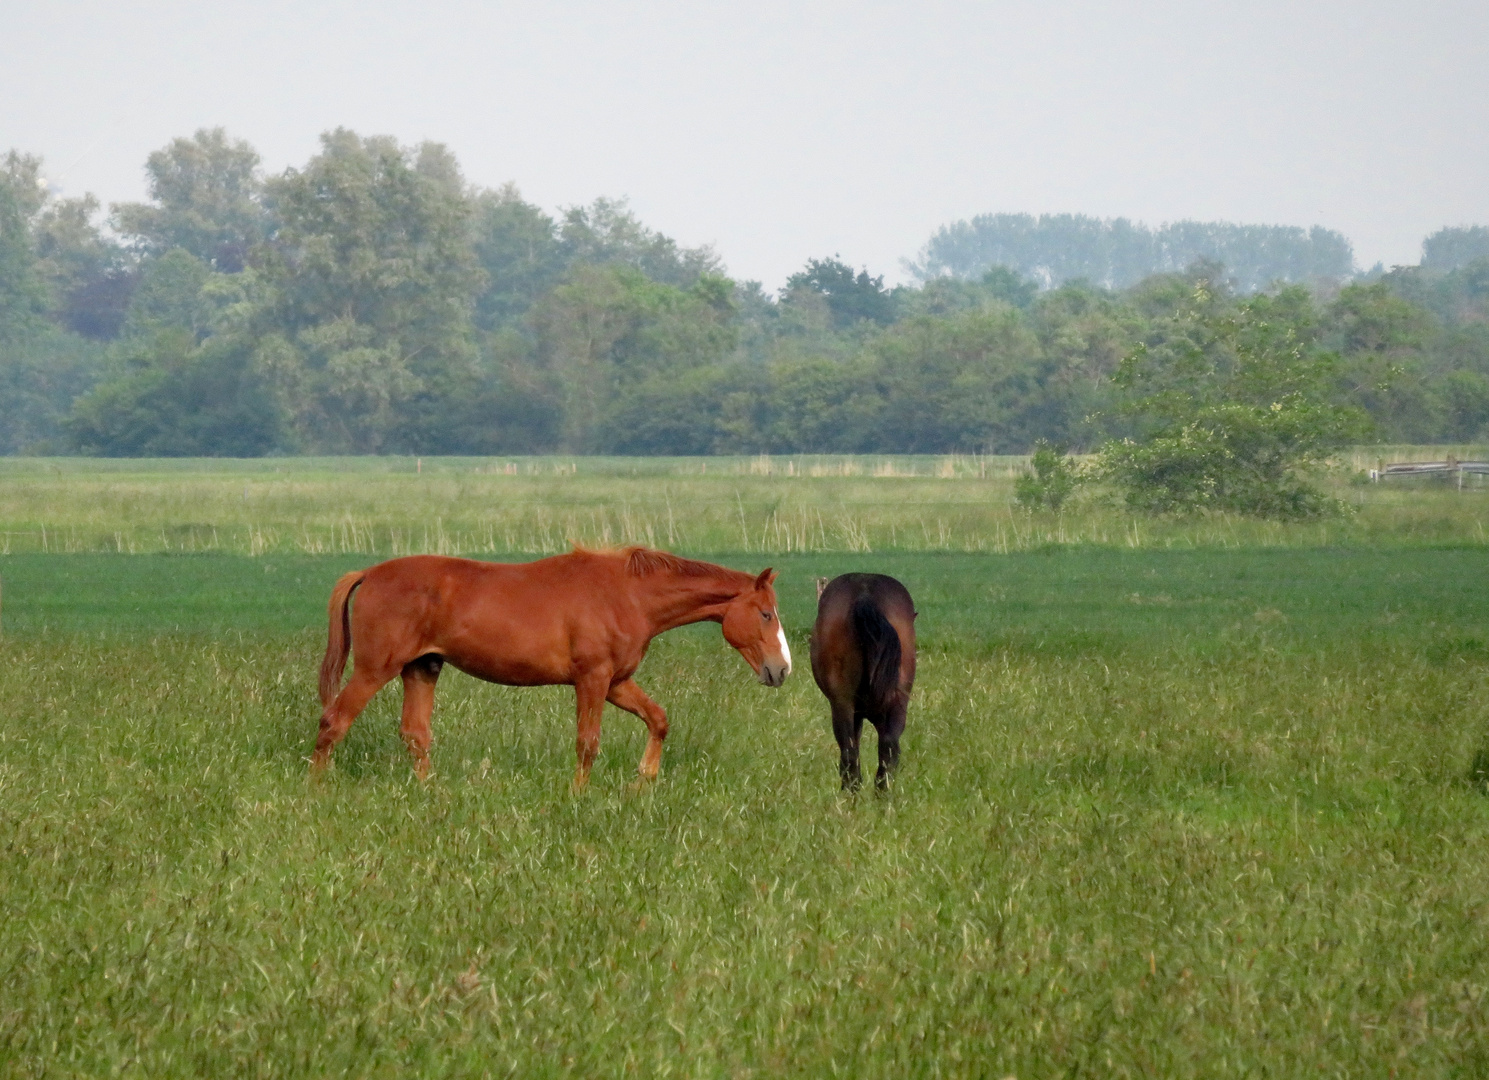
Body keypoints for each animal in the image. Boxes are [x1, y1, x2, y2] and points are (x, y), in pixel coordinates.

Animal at [312, 548, 792, 786]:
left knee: (416, 735)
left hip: (422, 668)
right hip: (375, 669)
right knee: (334, 722)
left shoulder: (617, 682)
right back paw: (317, 789)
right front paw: (578, 797)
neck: (628, 594)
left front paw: (645, 779)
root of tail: (369, 573)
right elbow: (588, 744)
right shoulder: (592, 680)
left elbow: (658, 720)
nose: (782, 669)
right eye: (766, 613)